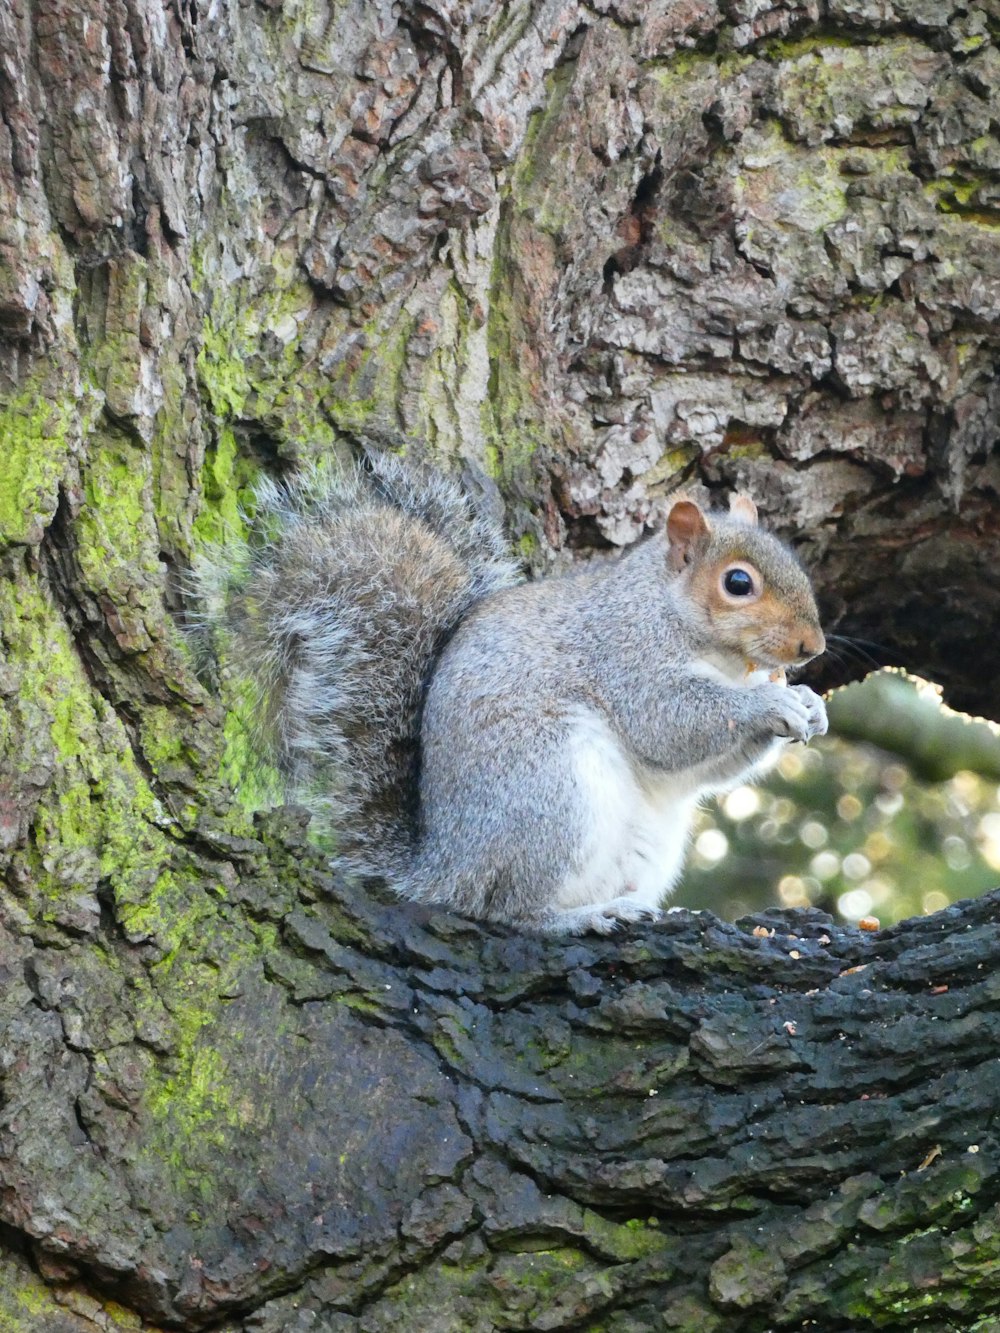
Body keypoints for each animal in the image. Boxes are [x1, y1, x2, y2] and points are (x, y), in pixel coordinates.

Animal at [197, 453, 832, 933]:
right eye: (738, 583)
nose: (813, 646)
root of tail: (445, 868)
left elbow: (705, 769)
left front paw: (810, 706)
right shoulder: (624, 655)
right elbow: (668, 723)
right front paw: (771, 704)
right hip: (550, 791)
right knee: (507, 910)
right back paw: (578, 918)